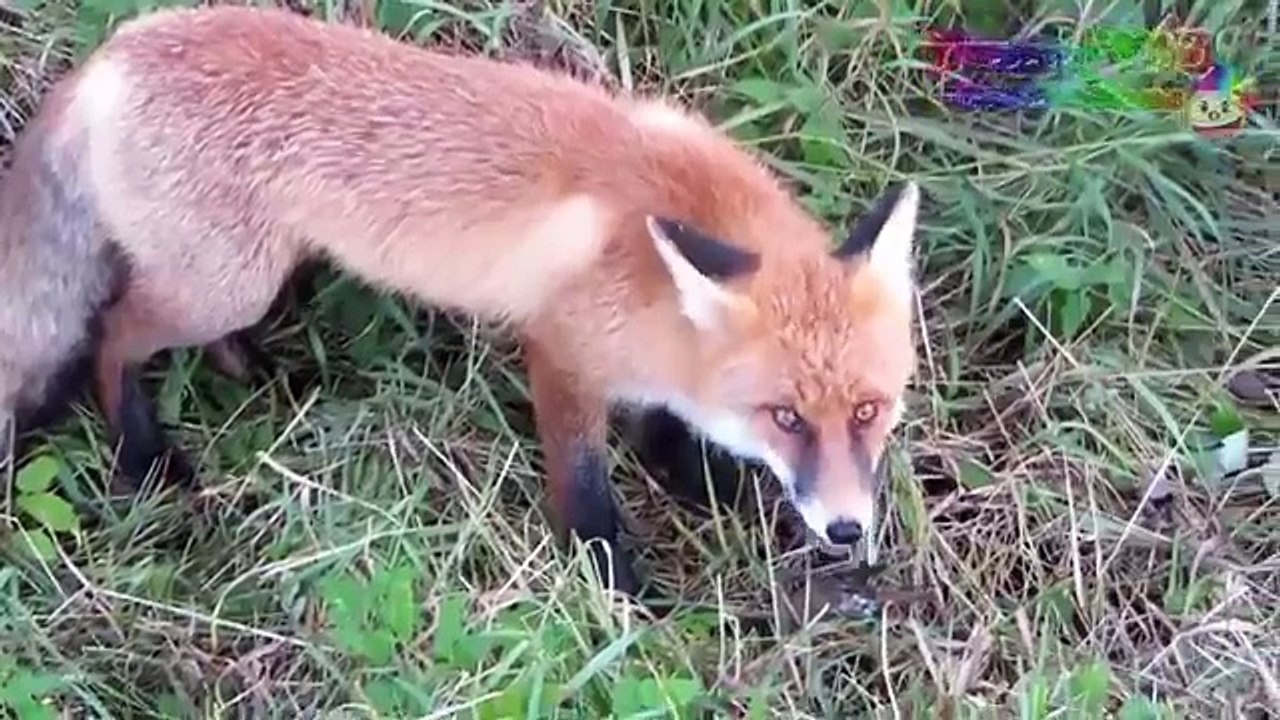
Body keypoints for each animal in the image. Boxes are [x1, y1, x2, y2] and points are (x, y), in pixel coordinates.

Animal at [0, 5, 921, 596]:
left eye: (868, 411)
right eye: (787, 417)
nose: (847, 530)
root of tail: (116, 50)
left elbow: (664, 419)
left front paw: (695, 475)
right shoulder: (562, 352)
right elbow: (585, 485)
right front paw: (614, 581)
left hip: (245, 274)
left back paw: (257, 372)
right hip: (222, 284)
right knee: (109, 333)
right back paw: (143, 454)